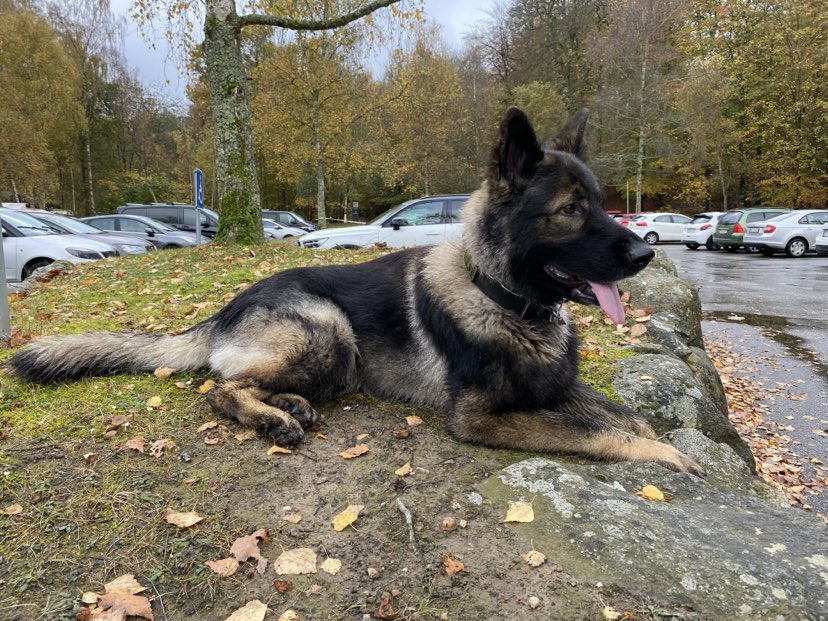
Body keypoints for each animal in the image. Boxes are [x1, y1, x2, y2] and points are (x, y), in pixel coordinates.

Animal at [7, 108, 703, 475]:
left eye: (602, 203)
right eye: (570, 210)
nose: (645, 253)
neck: (503, 300)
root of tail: (228, 305)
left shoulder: (559, 387)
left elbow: (621, 412)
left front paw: (666, 438)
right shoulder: (483, 417)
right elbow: (591, 432)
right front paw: (665, 455)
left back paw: (289, 404)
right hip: (329, 332)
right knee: (218, 389)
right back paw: (273, 417)